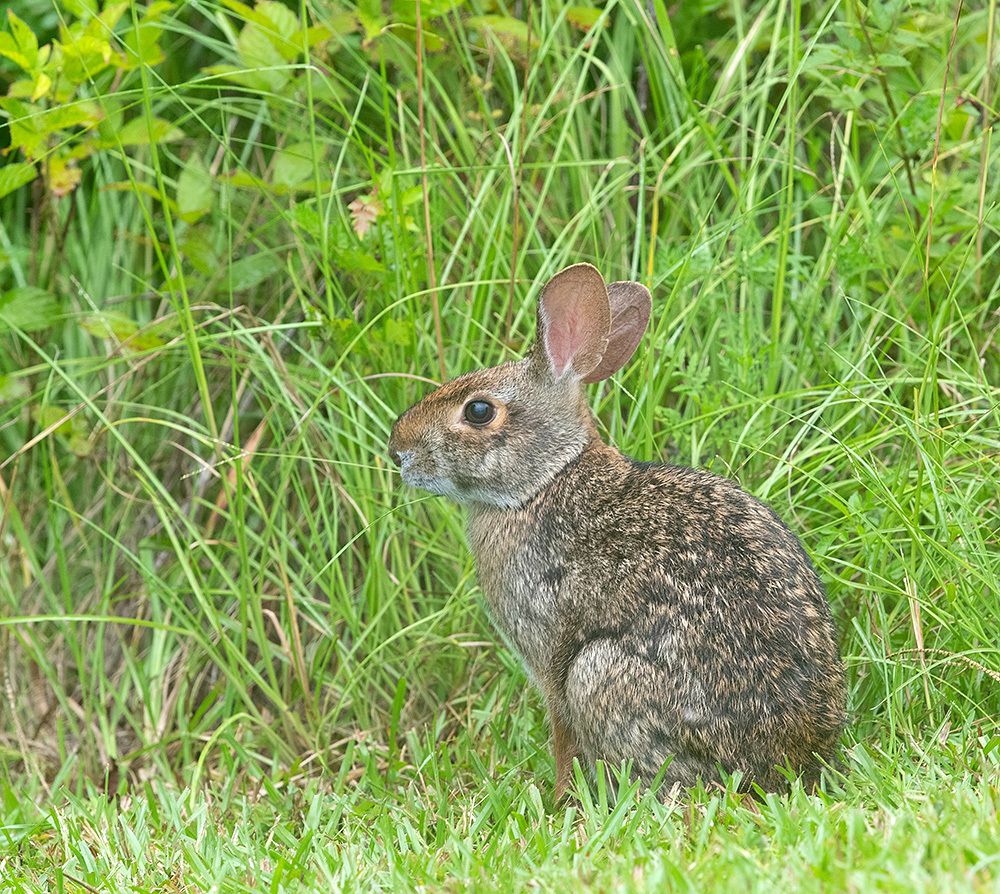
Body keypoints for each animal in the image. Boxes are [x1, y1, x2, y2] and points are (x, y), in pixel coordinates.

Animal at [388, 263, 846, 798]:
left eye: (478, 411)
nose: (398, 452)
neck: (546, 479)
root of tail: (792, 759)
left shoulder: (551, 659)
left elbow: (561, 734)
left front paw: (558, 799)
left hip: (599, 674)